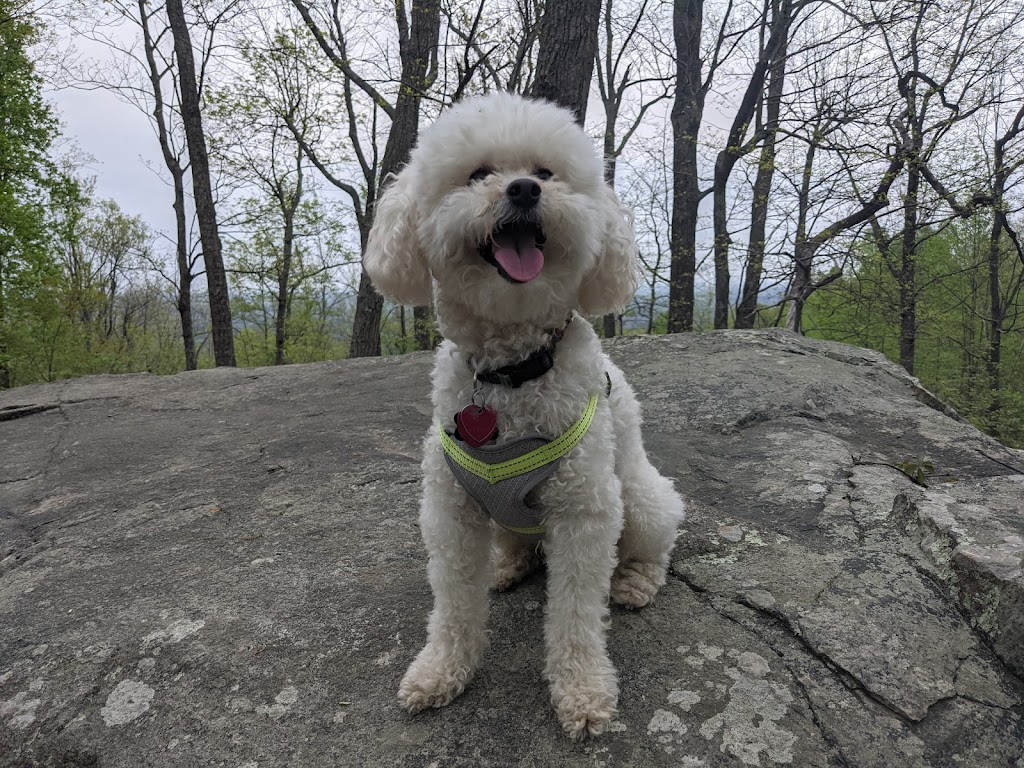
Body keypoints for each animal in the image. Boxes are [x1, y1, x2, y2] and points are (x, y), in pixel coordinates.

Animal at [364, 93, 684, 741]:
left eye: (546, 172)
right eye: (478, 173)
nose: (523, 190)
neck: (510, 373)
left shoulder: (586, 511)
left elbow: (577, 613)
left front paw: (583, 690)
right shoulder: (451, 510)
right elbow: (453, 602)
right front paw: (442, 669)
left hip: (641, 498)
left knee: (656, 544)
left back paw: (635, 582)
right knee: (515, 545)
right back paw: (505, 566)